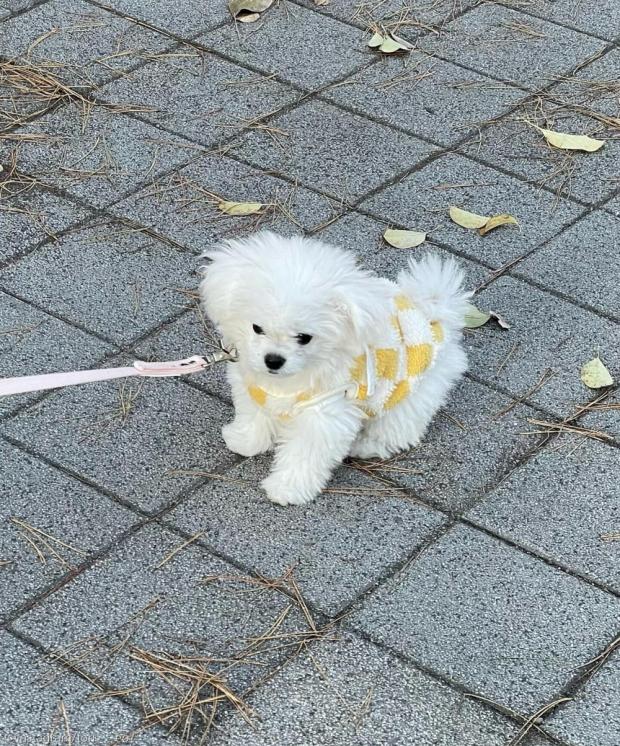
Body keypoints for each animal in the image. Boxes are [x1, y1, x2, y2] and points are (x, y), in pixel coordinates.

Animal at [201, 230, 468, 502]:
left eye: (304, 337)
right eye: (257, 328)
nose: (273, 360)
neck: (289, 381)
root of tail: (433, 317)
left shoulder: (324, 415)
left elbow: (304, 454)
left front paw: (287, 488)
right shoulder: (255, 389)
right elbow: (255, 416)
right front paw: (246, 440)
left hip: (411, 390)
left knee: (398, 427)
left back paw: (367, 444)